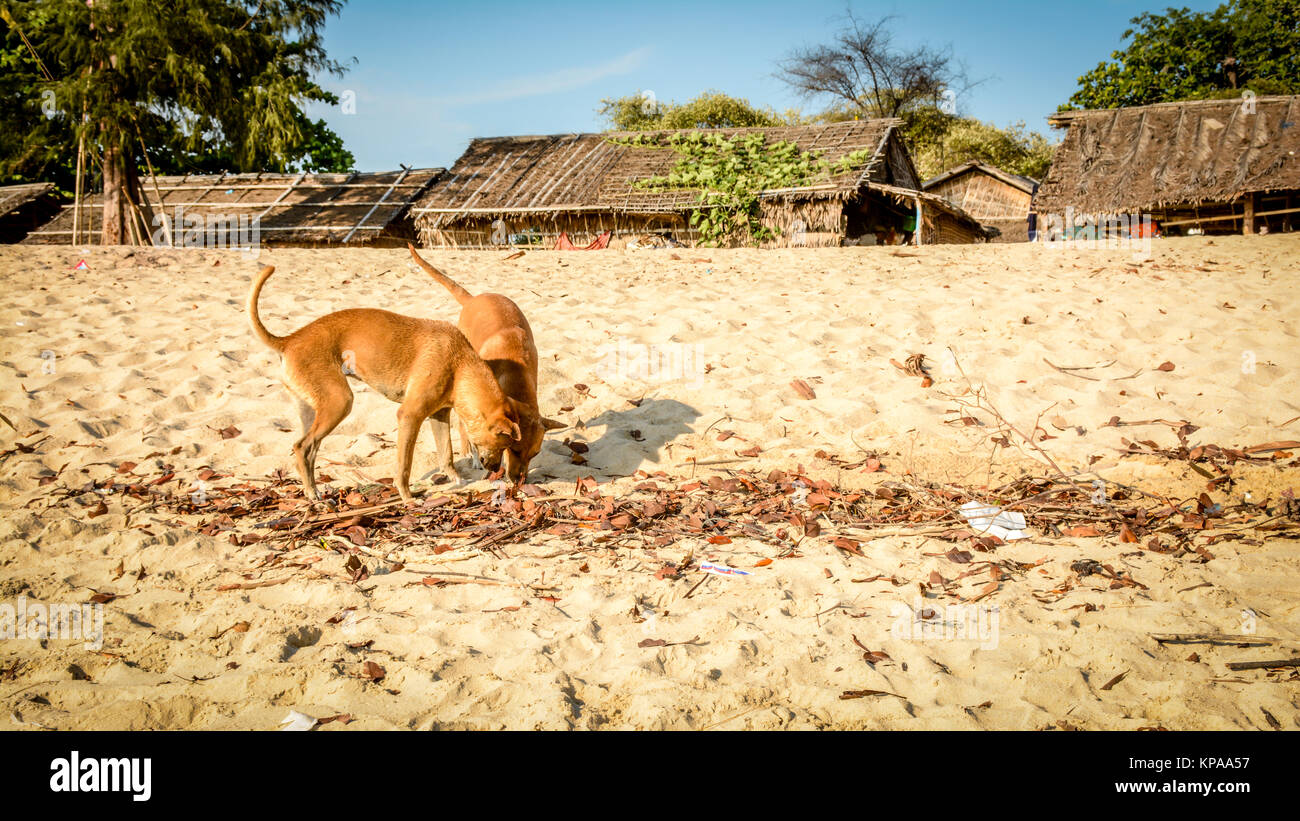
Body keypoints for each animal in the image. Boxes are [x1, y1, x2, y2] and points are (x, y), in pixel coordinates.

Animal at [245, 266, 520, 504]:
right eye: (503, 446)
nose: (495, 471)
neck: (459, 362)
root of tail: (289, 340)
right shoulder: (409, 416)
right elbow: (404, 466)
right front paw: (407, 497)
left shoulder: (439, 415)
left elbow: (447, 455)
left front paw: (456, 479)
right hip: (340, 403)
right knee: (302, 448)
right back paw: (314, 495)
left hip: (315, 412)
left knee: (307, 451)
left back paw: (313, 493)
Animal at [403, 244, 561, 488]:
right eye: (514, 450)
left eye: (534, 454)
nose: (519, 482)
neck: (515, 370)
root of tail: (473, 298)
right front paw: (476, 455)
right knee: (462, 424)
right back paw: (470, 453)